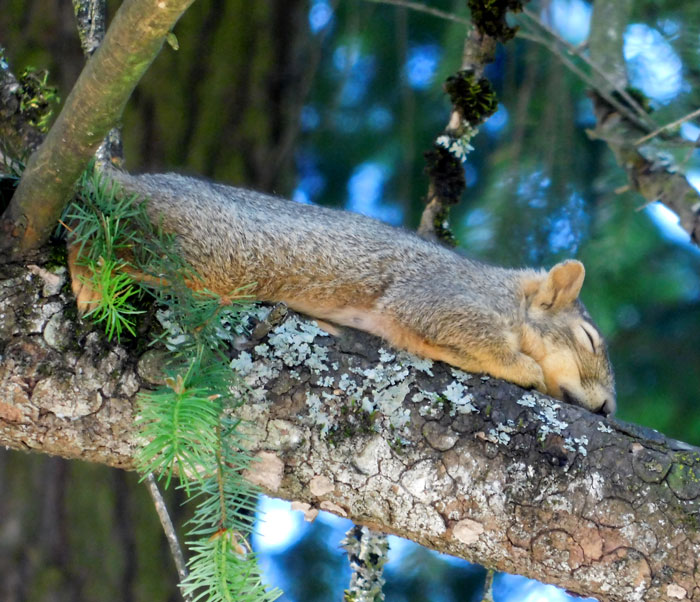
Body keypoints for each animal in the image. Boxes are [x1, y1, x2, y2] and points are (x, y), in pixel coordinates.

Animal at [68, 169, 616, 412]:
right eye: (589, 340)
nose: (609, 409)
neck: (506, 292)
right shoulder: (439, 292)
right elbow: (475, 331)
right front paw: (526, 369)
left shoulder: (406, 326)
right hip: (204, 249)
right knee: (96, 219)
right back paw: (88, 276)